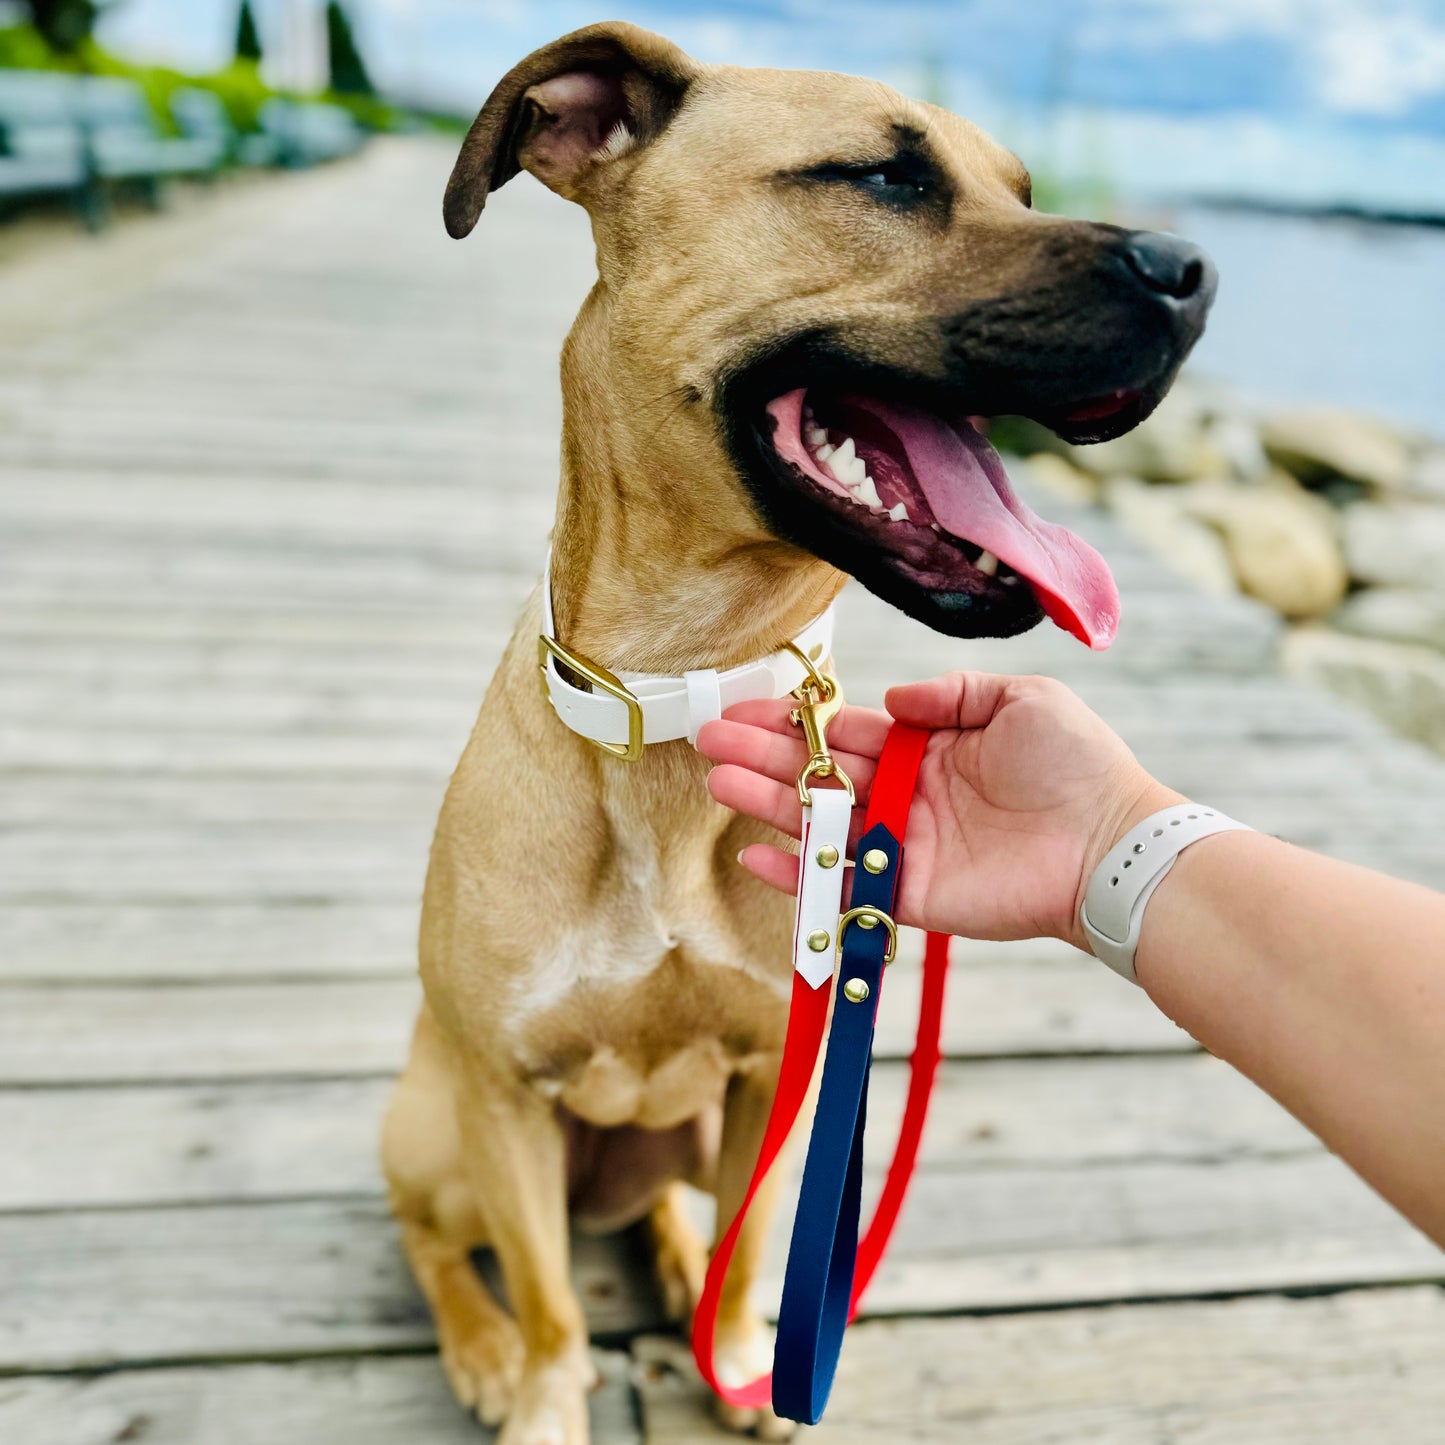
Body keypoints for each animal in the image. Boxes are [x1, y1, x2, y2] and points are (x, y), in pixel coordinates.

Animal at [381, 22, 1208, 1445]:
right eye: (881, 176)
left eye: (1022, 188)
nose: (1193, 273)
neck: (677, 689)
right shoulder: (499, 1093)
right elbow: (546, 1297)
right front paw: (542, 1390)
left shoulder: (772, 1070)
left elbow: (757, 1231)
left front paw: (739, 1355)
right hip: (427, 1121)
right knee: (439, 1241)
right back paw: (481, 1345)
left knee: (673, 1209)